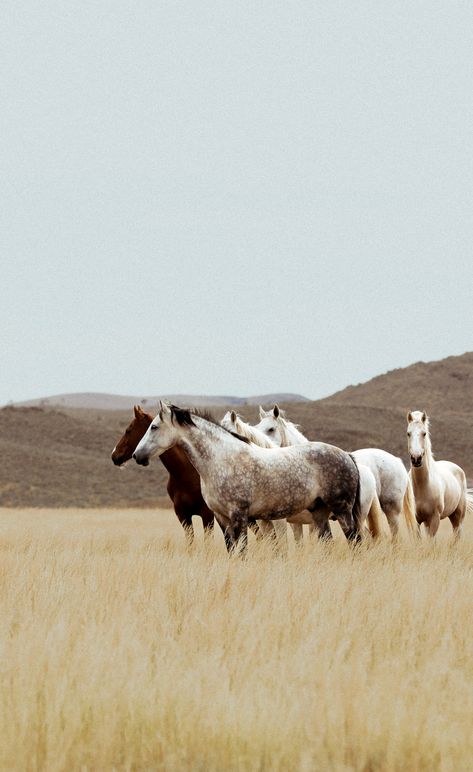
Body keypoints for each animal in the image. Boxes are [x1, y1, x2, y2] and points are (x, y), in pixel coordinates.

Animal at [110, 404, 258, 548]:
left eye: (128, 430)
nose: (114, 455)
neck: (184, 475)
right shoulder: (183, 515)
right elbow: (190, 544)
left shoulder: (207, 515)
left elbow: (208, 543)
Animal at [134, 404, 366, 548]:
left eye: (154, 427)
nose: (137, 455)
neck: (222, 459)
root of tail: (347, 456)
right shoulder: (222, 517)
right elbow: (232, 550)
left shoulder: (240, 516)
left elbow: (243, 550)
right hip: (320, 513)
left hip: (342, 511)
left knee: (355, 541)